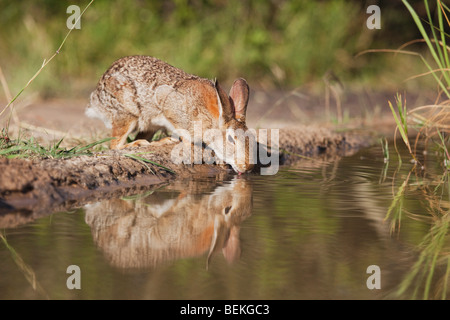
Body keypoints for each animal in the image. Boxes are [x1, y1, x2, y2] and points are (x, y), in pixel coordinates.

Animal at [84, 56, 253, 174]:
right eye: (231, 139)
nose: (248, 167)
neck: (211, 118)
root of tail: (96, 98)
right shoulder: (170, 107)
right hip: (126, 115)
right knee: (115, 144)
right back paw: (140, 144)